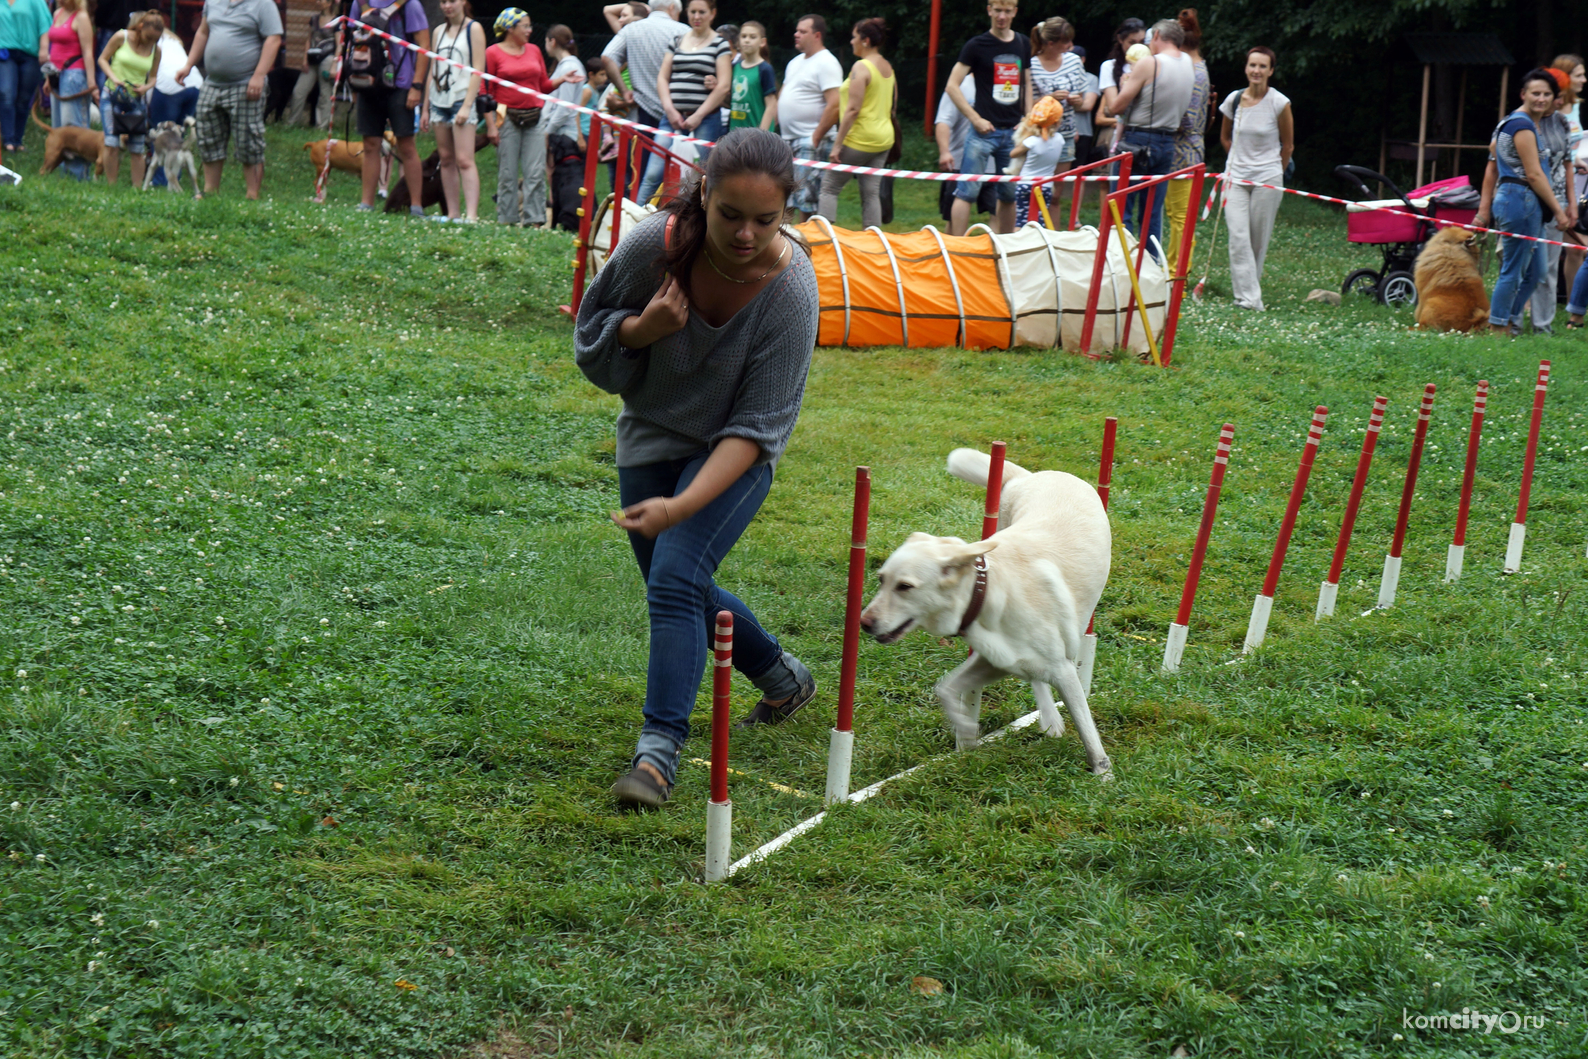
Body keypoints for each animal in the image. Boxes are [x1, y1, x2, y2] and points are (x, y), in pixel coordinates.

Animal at [857, 447, 1117, 777]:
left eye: (904, 587)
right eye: (881, 579)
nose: (863, 623)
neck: (986, 594)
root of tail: (1032, 475)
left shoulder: (1064, 671)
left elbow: (1089, 735)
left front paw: (1104, 777)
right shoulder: (995, 661)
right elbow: (945, 688)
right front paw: (966, 733)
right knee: (1034, 680)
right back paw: (1049, 719)